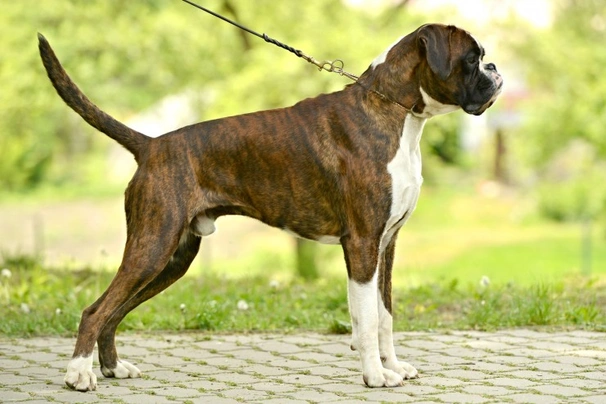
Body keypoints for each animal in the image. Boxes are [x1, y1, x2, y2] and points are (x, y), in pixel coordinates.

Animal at [36, 22, 504, 392]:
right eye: (473, 58)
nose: (496, 69)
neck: (394, 112)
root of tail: (151, 145)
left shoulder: (386, 245)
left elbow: (385, 313)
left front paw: (393, 367)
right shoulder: (362, 243)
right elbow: (367, 317)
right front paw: (375, 375)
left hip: (173, 258)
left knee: (114, 311)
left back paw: (113, 368)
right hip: (153, 246)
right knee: (96, 310)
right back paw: (79, 375)